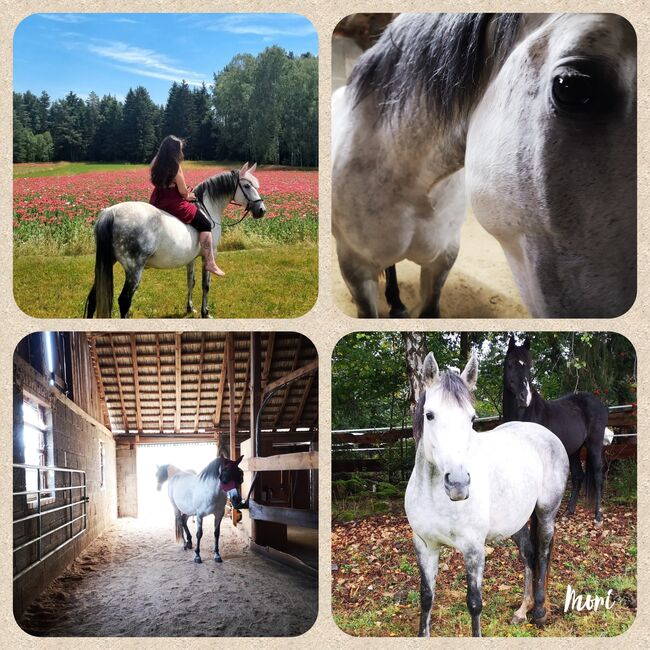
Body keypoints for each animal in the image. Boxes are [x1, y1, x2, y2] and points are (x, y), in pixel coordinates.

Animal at [85, 162, 264, 316]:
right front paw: (205, 312)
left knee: (93, 299)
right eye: (247, 186)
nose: (262, 210)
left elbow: (190, 281)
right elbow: (205, 285)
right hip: (134, 270)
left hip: (108, 261)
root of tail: (111, 212)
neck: (207, 208)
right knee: (124, 301)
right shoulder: (208, 255)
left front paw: (190, 308)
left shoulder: (191, 259)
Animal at [404, 350, 568, 632]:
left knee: (543, 552)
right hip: (515, 521)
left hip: (546, 513)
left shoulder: (473, 549)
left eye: (472, 419)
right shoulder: (425, 545)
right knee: (529, 554)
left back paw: (539, 611)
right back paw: (522, 611)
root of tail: (544, 433)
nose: (458, 483)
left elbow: (474, 604)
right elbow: (426, 598)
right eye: (430, 415)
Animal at [502, 336, 608, 524]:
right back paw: (567, 513)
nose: (525, 397)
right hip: (574, 450)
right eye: (510, 364)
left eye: (529, 366)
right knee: (578, 477)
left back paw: (598, 517)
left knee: (597, 475)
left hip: (594, 445)